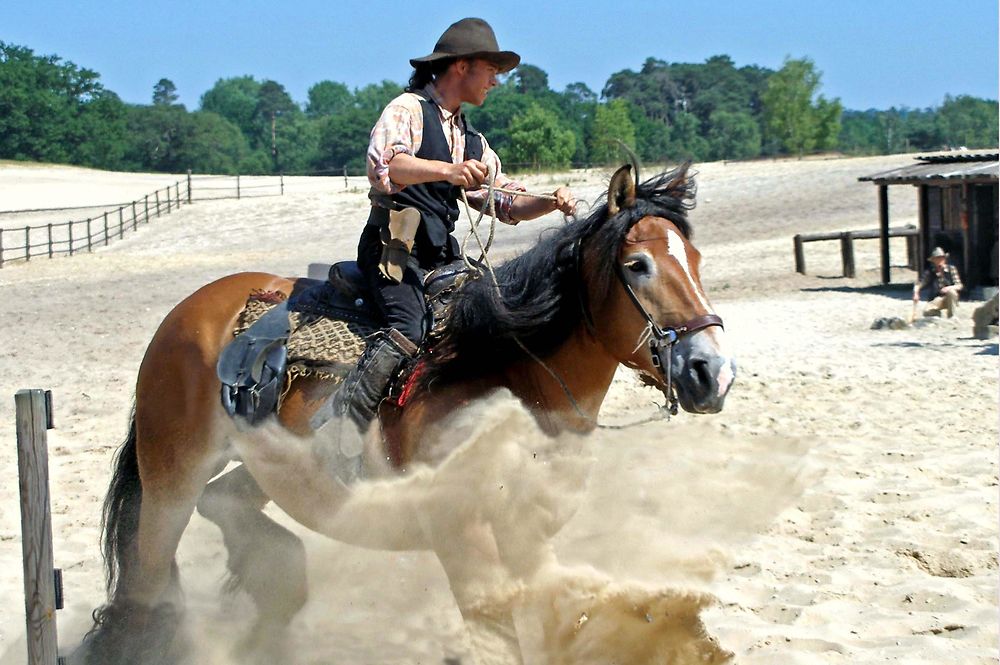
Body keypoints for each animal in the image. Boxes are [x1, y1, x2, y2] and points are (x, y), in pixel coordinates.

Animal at [80, 162, 736, 664]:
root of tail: (188, 312)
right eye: (637, 266)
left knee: (231, 508)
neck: (507, 375)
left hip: (270, 468)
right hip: (171, 474)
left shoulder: (528, 541)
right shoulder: (462, 539)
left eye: (697, 259)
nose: (712, 372)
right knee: (147, 582)